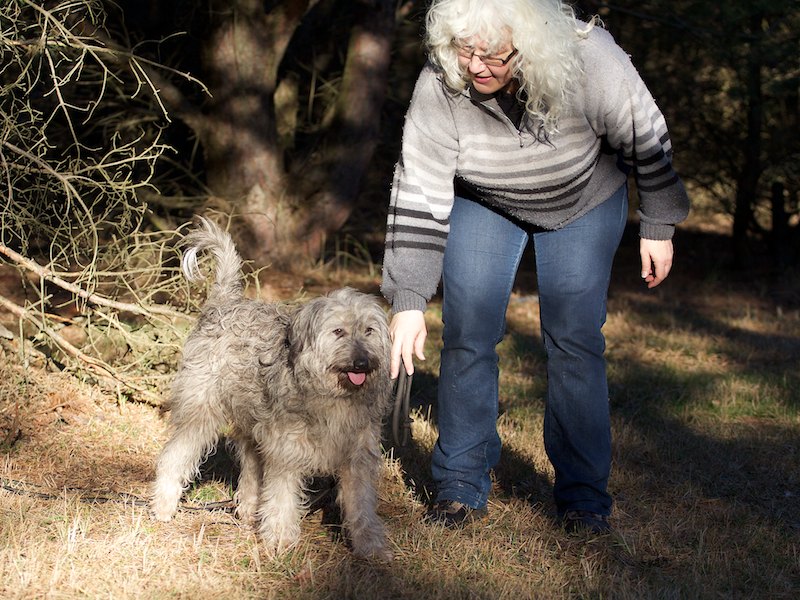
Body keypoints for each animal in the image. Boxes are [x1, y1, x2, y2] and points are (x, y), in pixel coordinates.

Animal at [150, 218, 393, 560]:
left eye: (369, 330)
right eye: (339, 332)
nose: (361, 363)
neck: (333, 396)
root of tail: (225, 302)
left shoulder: (357, 455)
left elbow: (362, 505)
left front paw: (370, 546)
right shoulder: (287, 451)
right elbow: (281, 496)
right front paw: (279, 540)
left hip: (253, 420)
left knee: (251, 463)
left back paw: (249, 509)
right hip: (202, 410)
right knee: (176, 454)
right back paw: (164, 505)